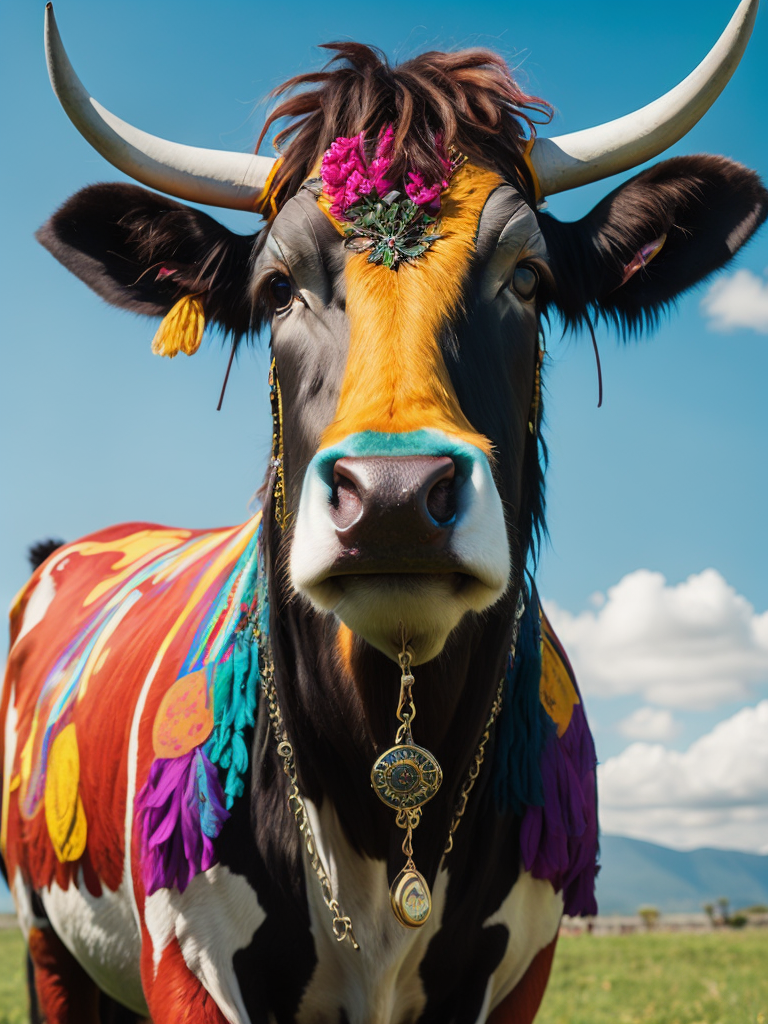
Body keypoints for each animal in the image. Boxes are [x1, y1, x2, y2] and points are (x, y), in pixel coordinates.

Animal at [1, 2, 766, 1022]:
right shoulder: (187, 968)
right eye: (276, 287)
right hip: (50, 941)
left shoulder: (520, 973)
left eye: (528, 278)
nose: (395, 498)